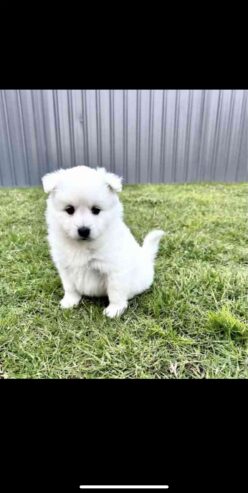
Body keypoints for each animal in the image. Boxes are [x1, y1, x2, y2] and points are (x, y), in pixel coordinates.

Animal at [41, 165, 164, 320]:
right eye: (69, 209)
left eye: (96, 210)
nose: (83, 230)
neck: (82, 245)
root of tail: (146, 257)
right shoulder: (65, 267)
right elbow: (70, 287)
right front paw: (69, 301)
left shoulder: (115, 269)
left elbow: (115, 292)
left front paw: (114, 310)